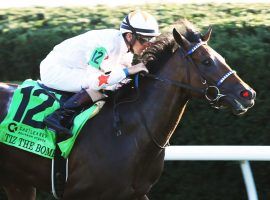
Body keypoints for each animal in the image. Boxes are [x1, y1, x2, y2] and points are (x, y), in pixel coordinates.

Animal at [0, 19, 255, 199]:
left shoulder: (135, 193)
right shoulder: (77, 193)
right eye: (206, 62)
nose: (248, 94)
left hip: (17, 181)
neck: (130, 132)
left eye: (221, 58)